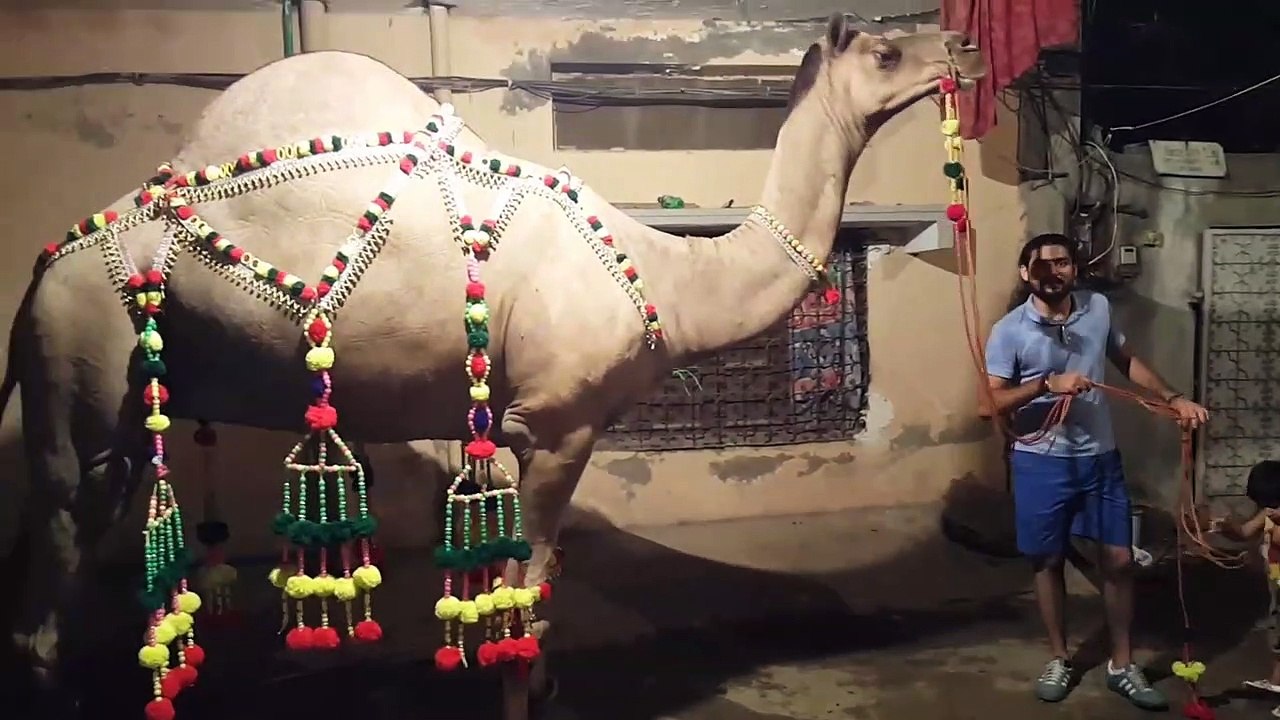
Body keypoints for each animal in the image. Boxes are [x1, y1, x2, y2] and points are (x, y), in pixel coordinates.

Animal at [0, 14, 984, 720]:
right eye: (888, 49)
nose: (964, 46)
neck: (668, 276)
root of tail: (40, 273)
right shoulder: (557, 425)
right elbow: (526, 594)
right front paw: (523, 694)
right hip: (81, 360)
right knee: (57, 550)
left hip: (122, 404)